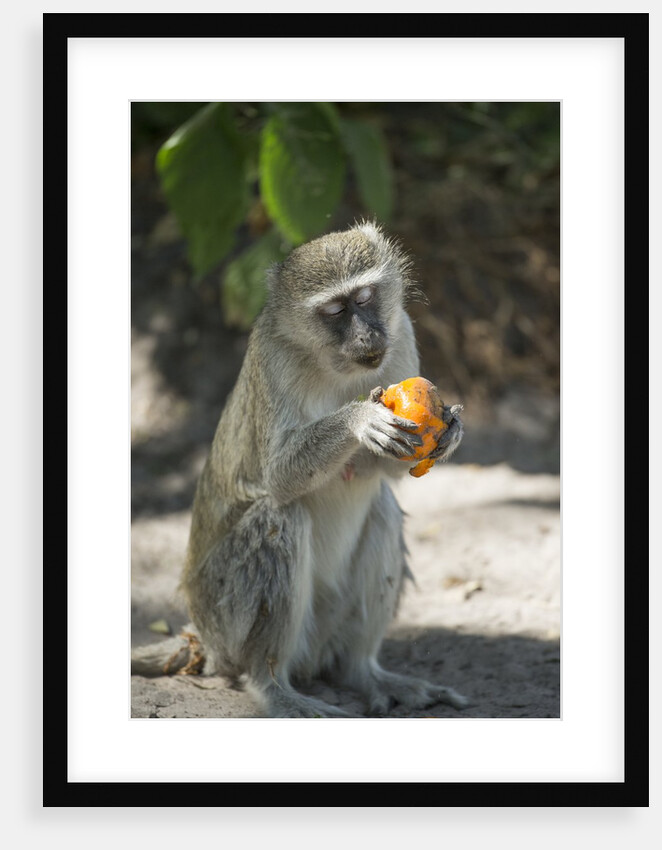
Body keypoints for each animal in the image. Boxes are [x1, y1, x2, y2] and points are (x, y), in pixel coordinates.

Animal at [132, 221, 467, 718]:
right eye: (335, 310)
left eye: (365, 297)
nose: (367, 336)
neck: (335, 364)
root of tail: (204, 639)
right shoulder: (274, 357)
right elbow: (279, 477)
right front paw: (358, 420)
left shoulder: (401, 331)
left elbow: (389, 472)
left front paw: (450, 432)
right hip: (225, 617)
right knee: (279, 518)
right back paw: (273, 687)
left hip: (326, 629)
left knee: (382, 510)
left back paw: (363, 672)